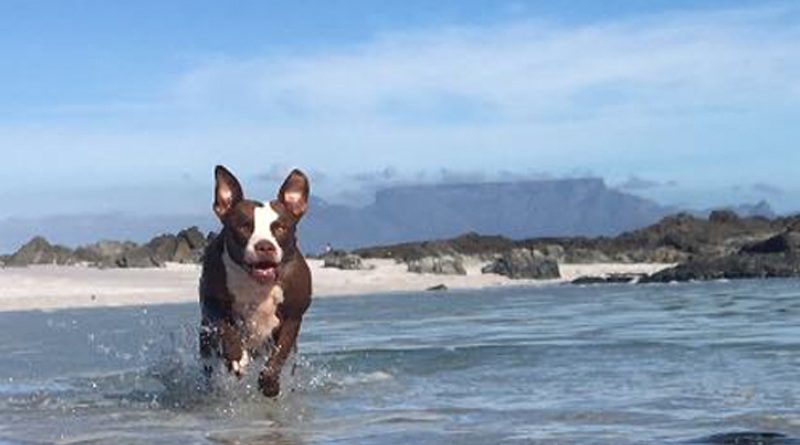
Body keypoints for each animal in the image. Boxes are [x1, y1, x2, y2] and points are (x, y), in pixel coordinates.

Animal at [200, 165, 312, 398]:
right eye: (244, 227)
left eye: (280, 228)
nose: (265, 246)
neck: (256, 283)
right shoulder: (212, 301)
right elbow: (225, 326)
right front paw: (235, 357)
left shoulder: (293, 317)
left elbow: (280, 352)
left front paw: (269, 382)